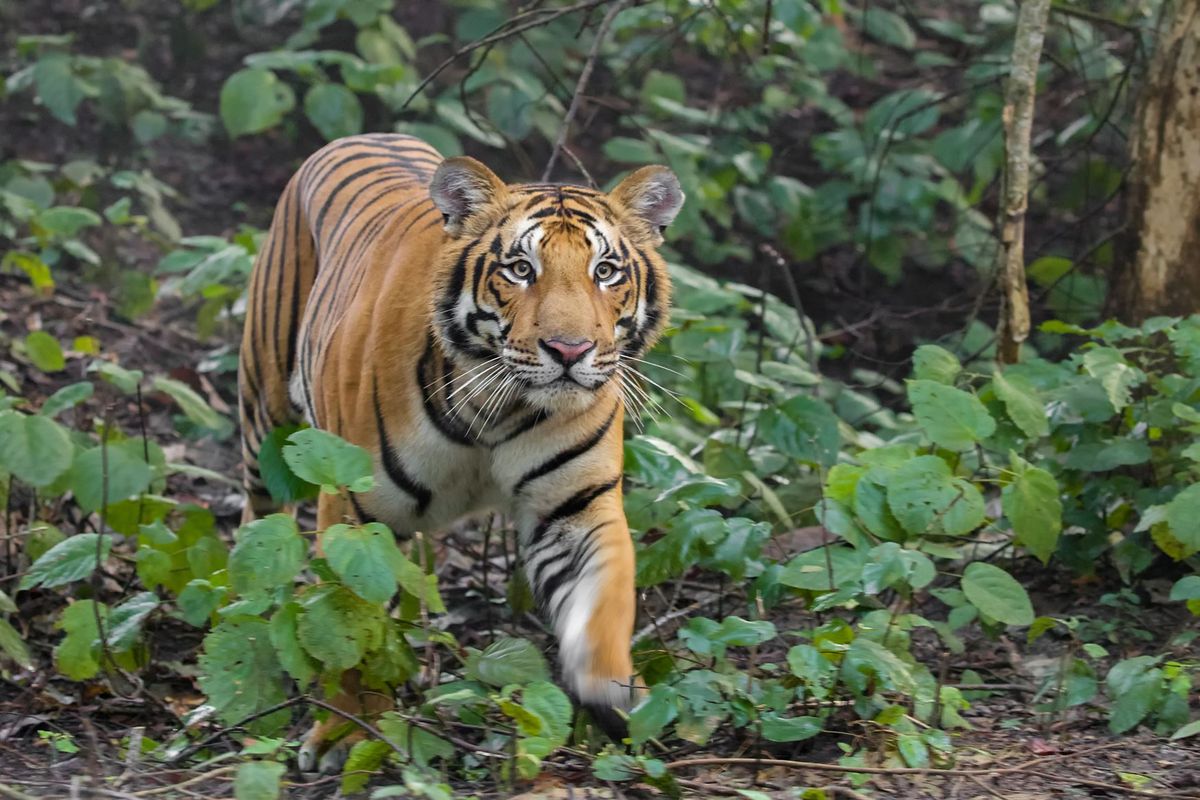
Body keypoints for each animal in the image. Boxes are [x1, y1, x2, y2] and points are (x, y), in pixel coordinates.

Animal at [238, 134, 681, 772]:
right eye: (521, 269)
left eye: (605, 271)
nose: (570, 350)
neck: (500, 410)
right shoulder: (351, 502)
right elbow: (348, 617)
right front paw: (347, 732)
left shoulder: (575, 507)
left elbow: (605, 597)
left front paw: (613, 696)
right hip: (265, 411)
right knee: (256, 520)